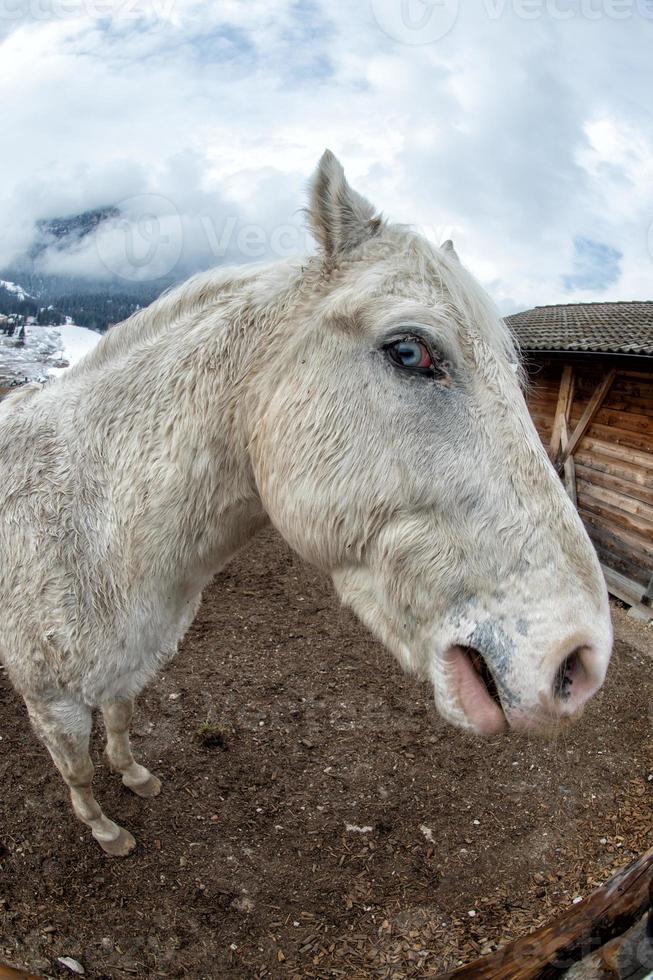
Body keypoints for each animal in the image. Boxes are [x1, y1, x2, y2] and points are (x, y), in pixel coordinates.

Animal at [0, 149, 612, 852]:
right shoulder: (53, 703)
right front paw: (105, 830)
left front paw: (134, 776)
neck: (89, 524)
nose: (579, 663)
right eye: (410, 351)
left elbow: (122, 722)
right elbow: (77, 771)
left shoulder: (125, 665)